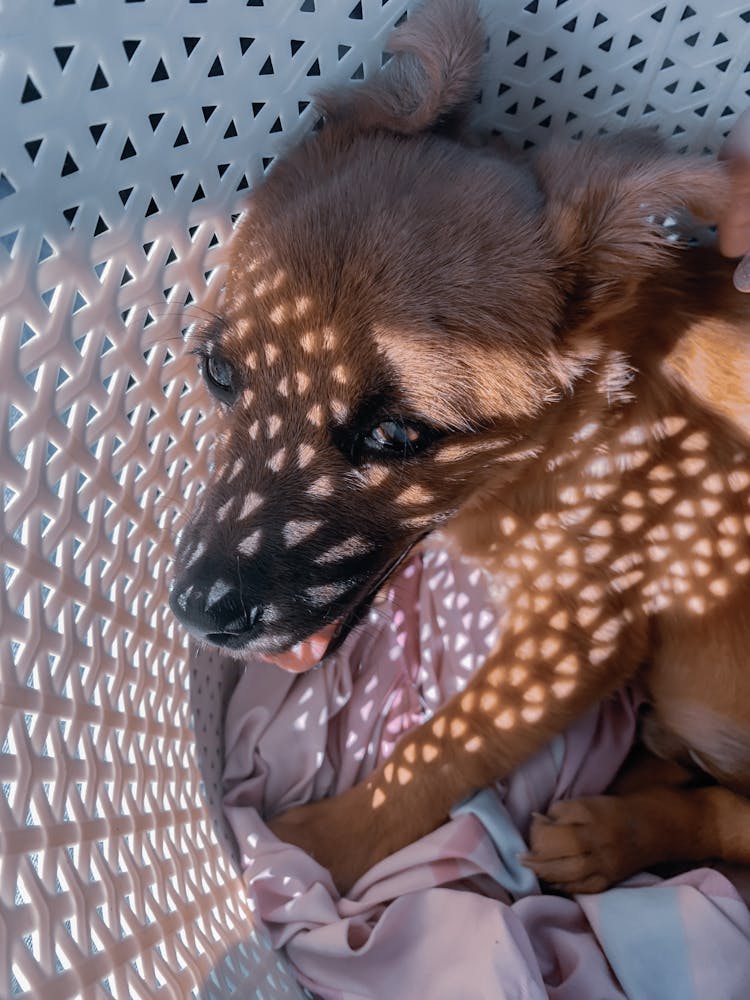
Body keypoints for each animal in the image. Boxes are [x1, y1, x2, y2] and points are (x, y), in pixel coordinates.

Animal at [170, 0, 750, 896]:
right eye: (219, 373)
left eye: (395, 434)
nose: (197, 613)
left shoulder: (583, 627)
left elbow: (441, 751)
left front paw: (306, 854)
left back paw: (609, 834)